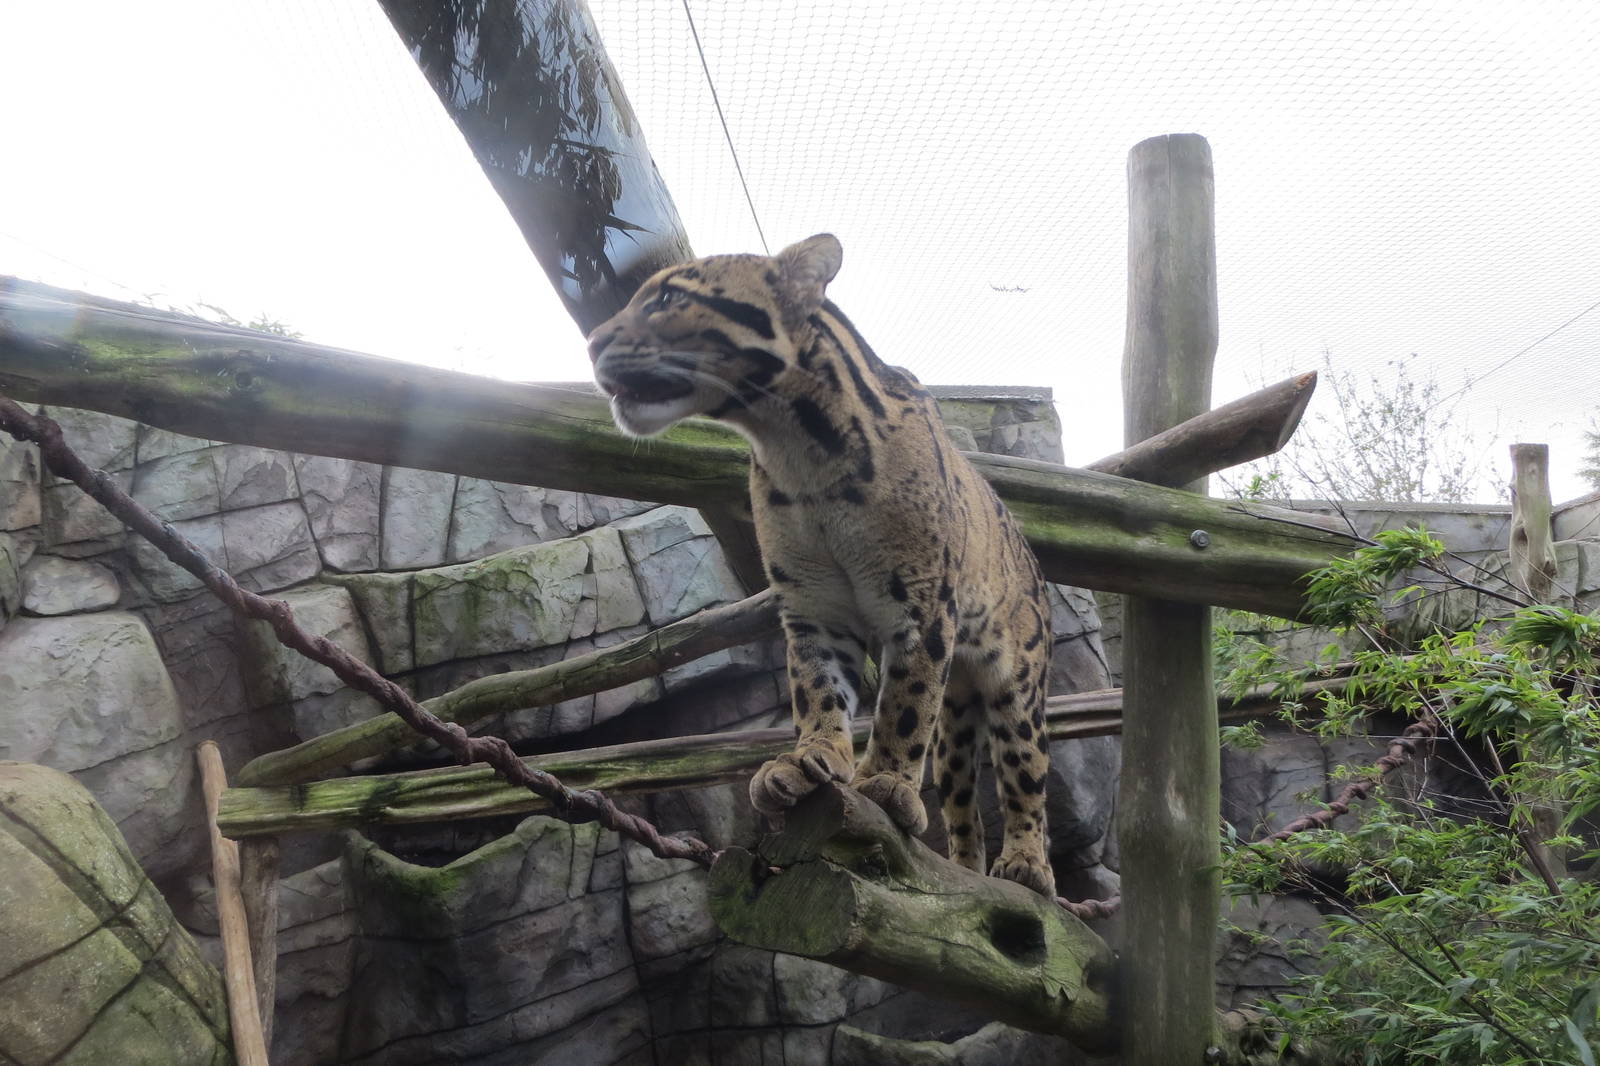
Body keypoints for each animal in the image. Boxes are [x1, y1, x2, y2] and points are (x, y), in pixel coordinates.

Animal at [587, 234, 1056, 896]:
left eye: (671, 298)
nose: (593, 341)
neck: (799, 451)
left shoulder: (922, 605)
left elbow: (904, 704)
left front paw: (882, 779)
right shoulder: (812, 604)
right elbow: (817, 685)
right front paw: (811, 757)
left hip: (1020, 685)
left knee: (1024, 773)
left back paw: (1026, 865)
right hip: (958, 719)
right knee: (961, 798)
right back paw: (967, 870)